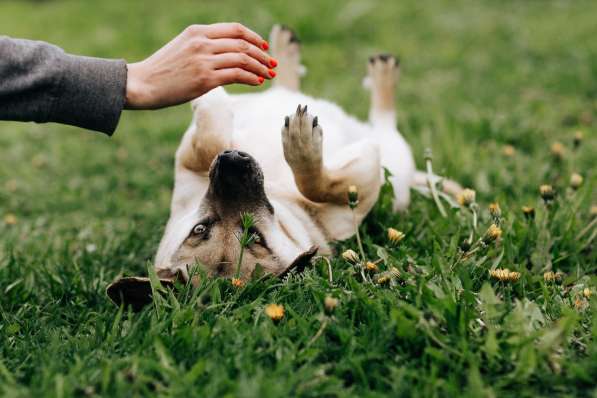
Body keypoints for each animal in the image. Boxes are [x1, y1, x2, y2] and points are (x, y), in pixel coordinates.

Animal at [107, 25, 456, 310]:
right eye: (200, 230)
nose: (231, 163)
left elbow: (211, 143)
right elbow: (316, 181)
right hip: (393, 158)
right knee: (382, 121)